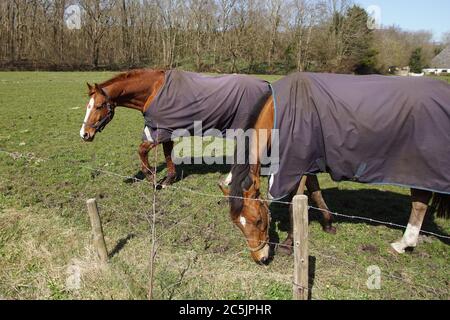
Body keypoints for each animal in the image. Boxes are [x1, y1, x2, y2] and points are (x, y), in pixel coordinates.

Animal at [221, 73, 450, 264]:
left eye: (259, 220)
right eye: (238, 224)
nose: (260, 258)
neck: (280, 111)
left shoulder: (297, 165)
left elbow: (294, 204)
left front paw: (288, 243)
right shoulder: (310, 162)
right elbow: (315, 193)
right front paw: (329, 223)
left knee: (419, 203)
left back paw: (403, 243)